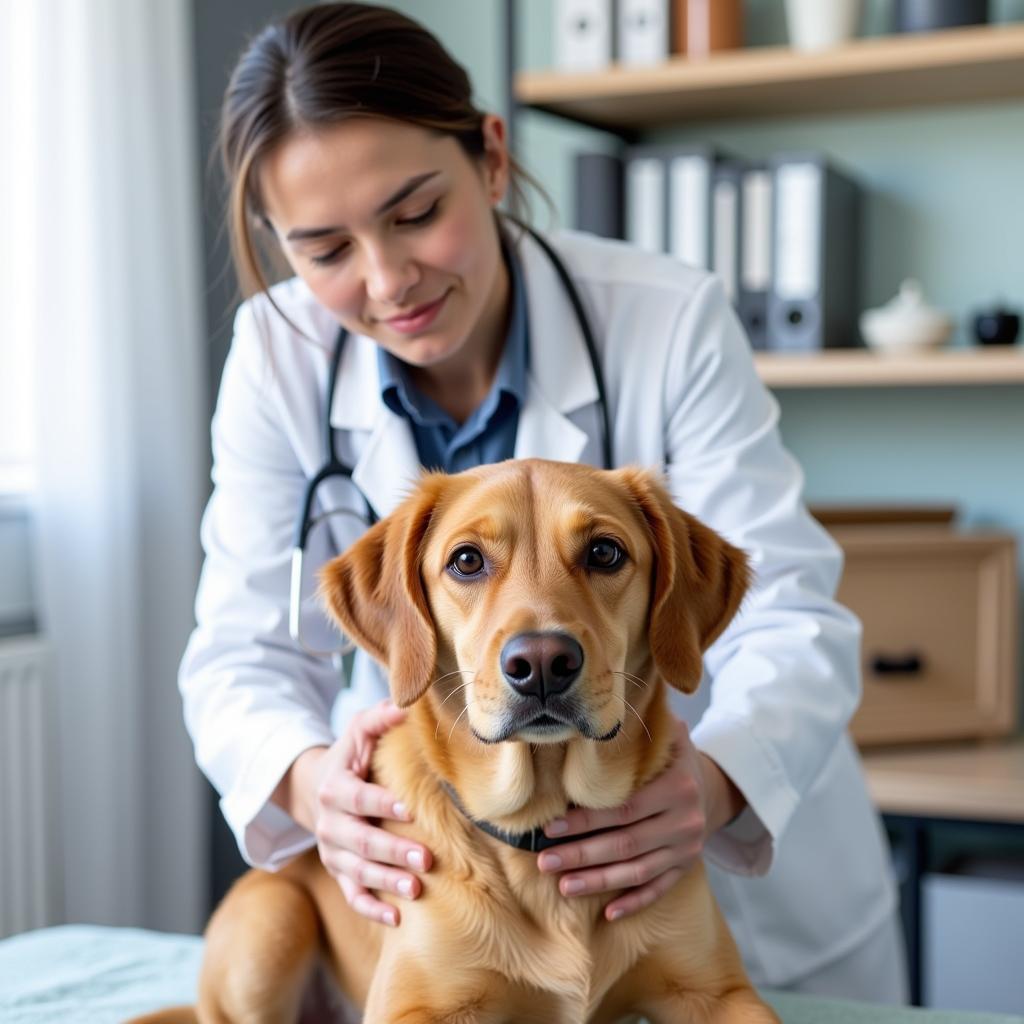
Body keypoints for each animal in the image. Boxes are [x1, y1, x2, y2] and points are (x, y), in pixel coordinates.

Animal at [134, 460, 774, 1019]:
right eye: (467, 560)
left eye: (604, 552)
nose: (542, 663)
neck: (539, 820)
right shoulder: (414, 1005)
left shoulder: (719, 993)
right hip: (270, 924)